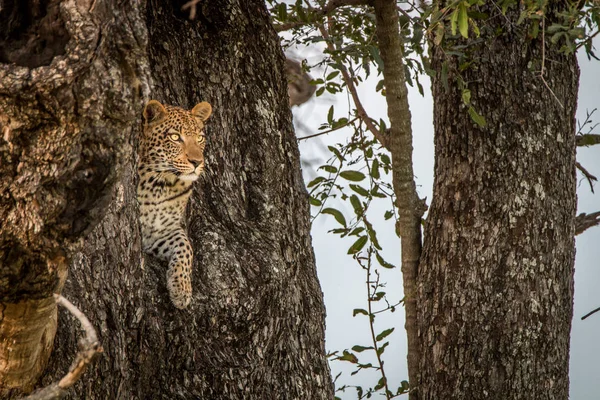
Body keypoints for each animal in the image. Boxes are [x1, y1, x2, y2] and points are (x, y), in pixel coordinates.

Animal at [137, 99, 212, 310]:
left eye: (200, 138)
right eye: (175, 137)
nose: (197, 162)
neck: (160, 185)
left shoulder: (160, 232)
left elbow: (186, 246)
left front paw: (182, 289)